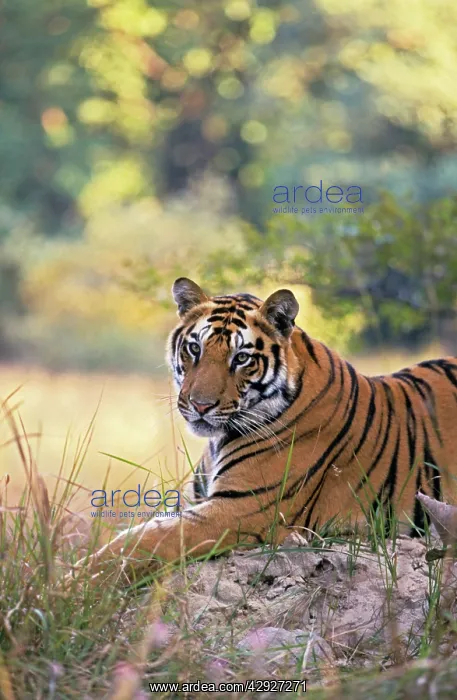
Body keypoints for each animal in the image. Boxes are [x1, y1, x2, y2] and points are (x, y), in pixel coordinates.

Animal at [85, 277, 457, 579]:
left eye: (241, 358)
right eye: (194, 348)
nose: (201, 405)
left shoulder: (239, 509)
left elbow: (142, 541)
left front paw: (82, 582)